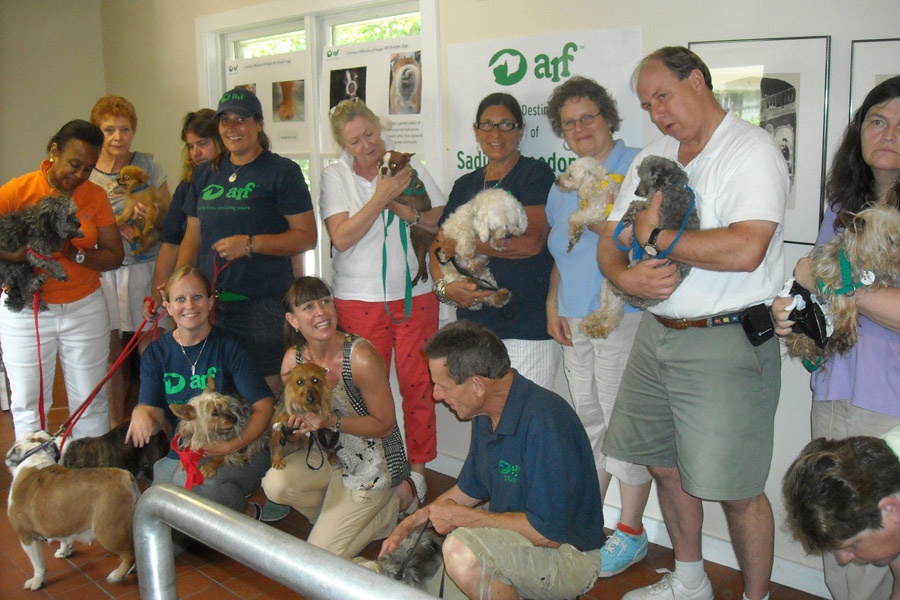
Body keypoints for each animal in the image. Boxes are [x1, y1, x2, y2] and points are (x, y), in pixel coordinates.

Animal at [580, 156, 700, 338]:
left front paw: (628, 218)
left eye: (645, 177)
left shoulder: (650, 205)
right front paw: (631, 235)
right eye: (639, 175)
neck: (672, 184)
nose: (637, 191)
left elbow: (635, 205)